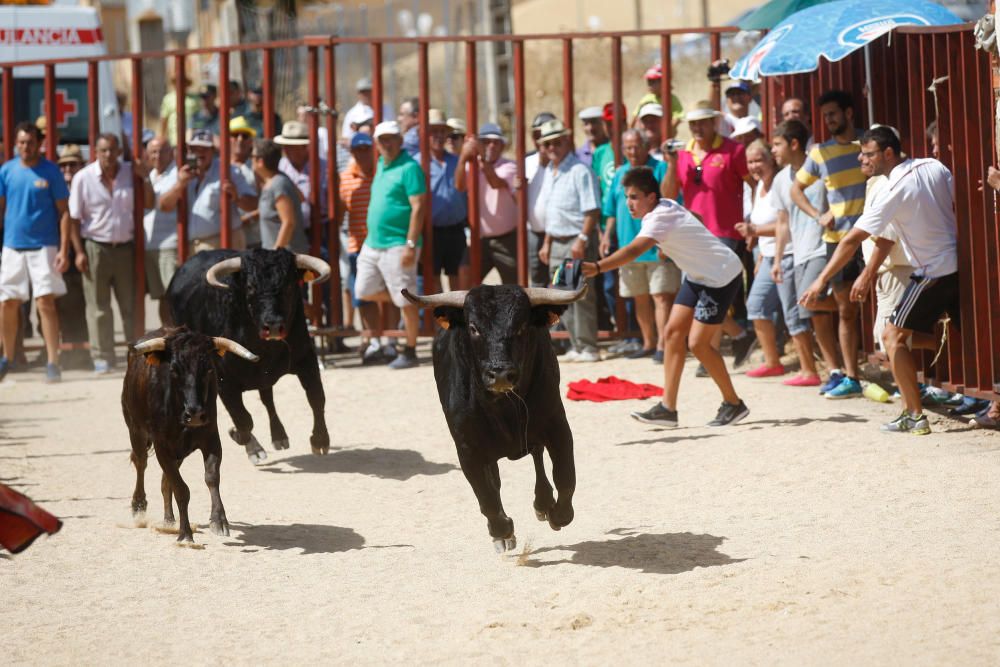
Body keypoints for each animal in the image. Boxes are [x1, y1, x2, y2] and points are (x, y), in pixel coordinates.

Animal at [167, 249, 332, 464]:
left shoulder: (306, 359)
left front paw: (320, 440)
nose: (273, 326)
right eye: (251, 287)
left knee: (267, 398)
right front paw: (243, 440)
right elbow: (243, 419)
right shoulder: (224, 382)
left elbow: (316, 397)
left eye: (289, 286)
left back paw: (279, 436)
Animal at [400, 282, 584, 552]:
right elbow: (485, 494)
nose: (500, 374)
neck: (503, 408)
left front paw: (558, 514)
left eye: (521, 326)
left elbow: (565, 476)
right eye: (473, 328)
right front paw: (502, 531)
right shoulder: (467, 448)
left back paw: (542, 503)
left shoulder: (557, 426)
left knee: (537, 456)